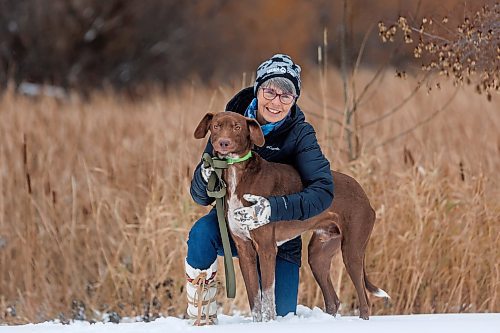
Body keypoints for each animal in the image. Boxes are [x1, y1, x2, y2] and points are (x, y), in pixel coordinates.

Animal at [193, 111, 388, 322]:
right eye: (216, 126)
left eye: (237, 127)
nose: (224, 143)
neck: (238, 173)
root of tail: (364, 195)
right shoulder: (245, 250)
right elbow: (255, 301)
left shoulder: (267, 248)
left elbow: (268, 297)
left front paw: (269, 323)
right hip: (318, 255)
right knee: (333, 300)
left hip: (352, 251)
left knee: (364, 300)